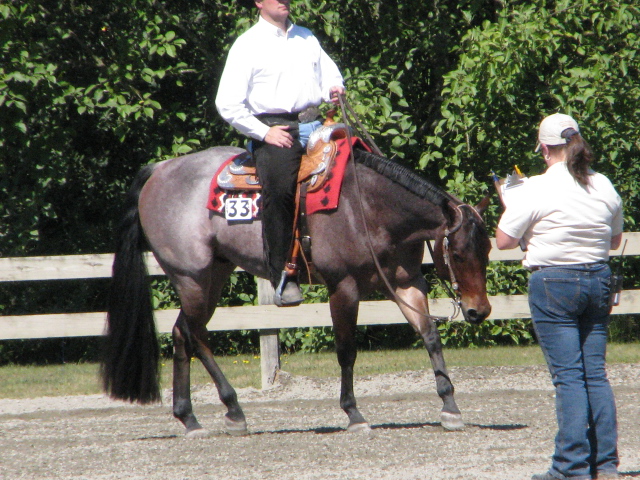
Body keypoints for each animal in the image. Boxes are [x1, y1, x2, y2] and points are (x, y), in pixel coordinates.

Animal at [100, 143, 492, 438]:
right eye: (458, 254)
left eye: (487, 250)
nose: (479, 311)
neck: (368, 207)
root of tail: (159, 170)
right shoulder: (343, 287)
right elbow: (346, 351)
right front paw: (354, 414)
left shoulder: (405, 283)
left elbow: (430, 336)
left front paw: (450, 406)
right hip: (191, 278)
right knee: (195, 335)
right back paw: (232, 408)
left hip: (213, 275)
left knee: (183, 332)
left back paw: (191, 418)